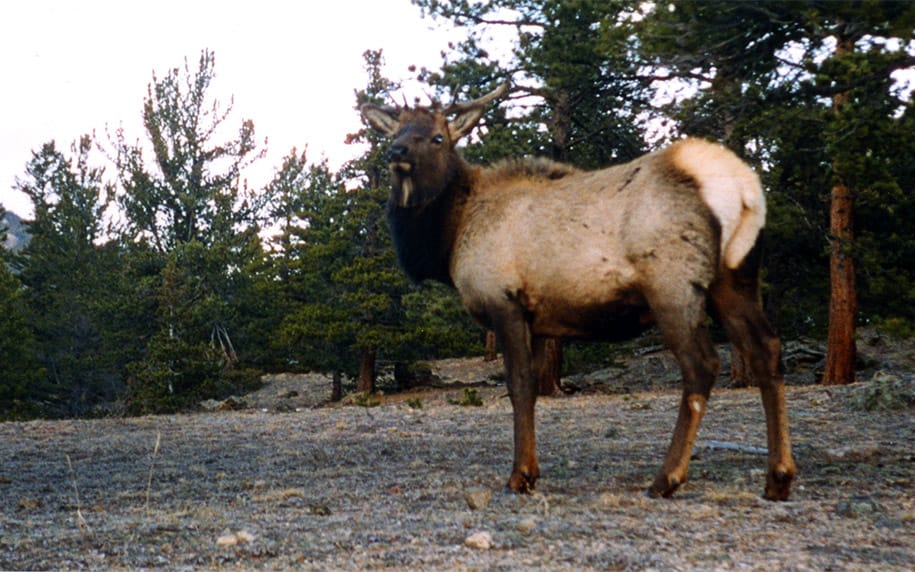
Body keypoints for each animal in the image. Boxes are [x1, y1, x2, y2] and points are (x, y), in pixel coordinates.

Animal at [362, 84, 796, 500]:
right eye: (398, 131)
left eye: (438, 137)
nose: (396, 151)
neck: (450, 236)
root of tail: (743, 186)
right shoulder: (538, 320)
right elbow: (535, 388)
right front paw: (532, 472)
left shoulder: (504, 302)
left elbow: (519, 385)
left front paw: (519, 477)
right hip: (735, 278)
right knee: (767, 349)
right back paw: (778, 477)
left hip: (672, 283)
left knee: (701, 365)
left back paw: (666, 479)